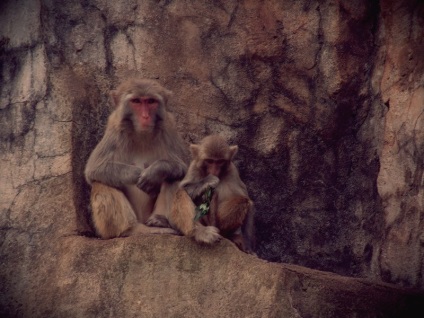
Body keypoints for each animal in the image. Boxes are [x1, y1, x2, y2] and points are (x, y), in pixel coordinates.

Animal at [84, 79, 187, 238]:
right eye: (136, 101)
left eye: (150, 101)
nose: (145, 116)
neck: (141, 133)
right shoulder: (114, 128)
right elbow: (95, 168)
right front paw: (137, 174)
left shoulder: (170, 127)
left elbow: (184, 168)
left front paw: (156, 172)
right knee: (101, 181)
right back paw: (132, 229)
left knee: (174, 177)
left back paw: (160, 222)